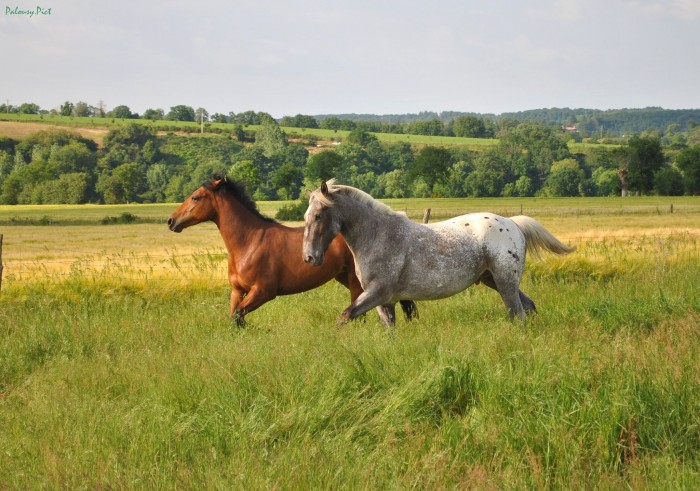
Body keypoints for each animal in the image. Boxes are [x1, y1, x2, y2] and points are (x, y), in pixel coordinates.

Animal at [168, 177, 416, 326]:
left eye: (196, 197)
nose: (172, 221)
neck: (248, 243)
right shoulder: (237, 291)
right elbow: (234, 318)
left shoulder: (264, 292)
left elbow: (239, 316)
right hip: (344, 278)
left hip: (357, 283)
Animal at [302, 181, 576, 326]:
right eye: (305, 216)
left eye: (318, 216)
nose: (309, 258)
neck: (378, 235)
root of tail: (513, 223)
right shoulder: (384, 301)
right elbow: (389, 330)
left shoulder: (377, 293)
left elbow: (345, 316)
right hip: (493, 279)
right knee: (528, 306)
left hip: (505, 281)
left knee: (517, 312)